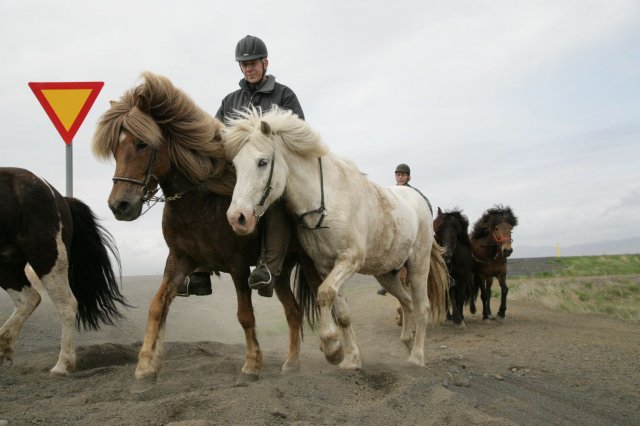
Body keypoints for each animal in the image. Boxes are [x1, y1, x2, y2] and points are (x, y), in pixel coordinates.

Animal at [91, 71, 318, 392]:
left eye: (142, 145)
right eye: (115, 149)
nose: (120, 205)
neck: (199, 200)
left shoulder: (237, 266)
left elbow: (245, 315)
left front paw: (251, 365)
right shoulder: (179, 259)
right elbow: (157, 306)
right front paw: (146, 367)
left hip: (310, 264)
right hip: (283, 272)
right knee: (294, 312)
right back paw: (292, 363)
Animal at [228, 107, 448, 370]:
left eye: (262, 162)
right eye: (236, 165)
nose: (237, 217)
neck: (327, 203)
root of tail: (419, 201)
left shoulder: (348, 259)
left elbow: (324, 294)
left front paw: (332, 347)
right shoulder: (325, 266)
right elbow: (342, 312)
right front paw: (351, 359)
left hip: (417, 265)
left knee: (422, 306)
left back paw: (416, 356)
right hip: (386, 274)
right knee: (406, 302)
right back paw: (407, 341)